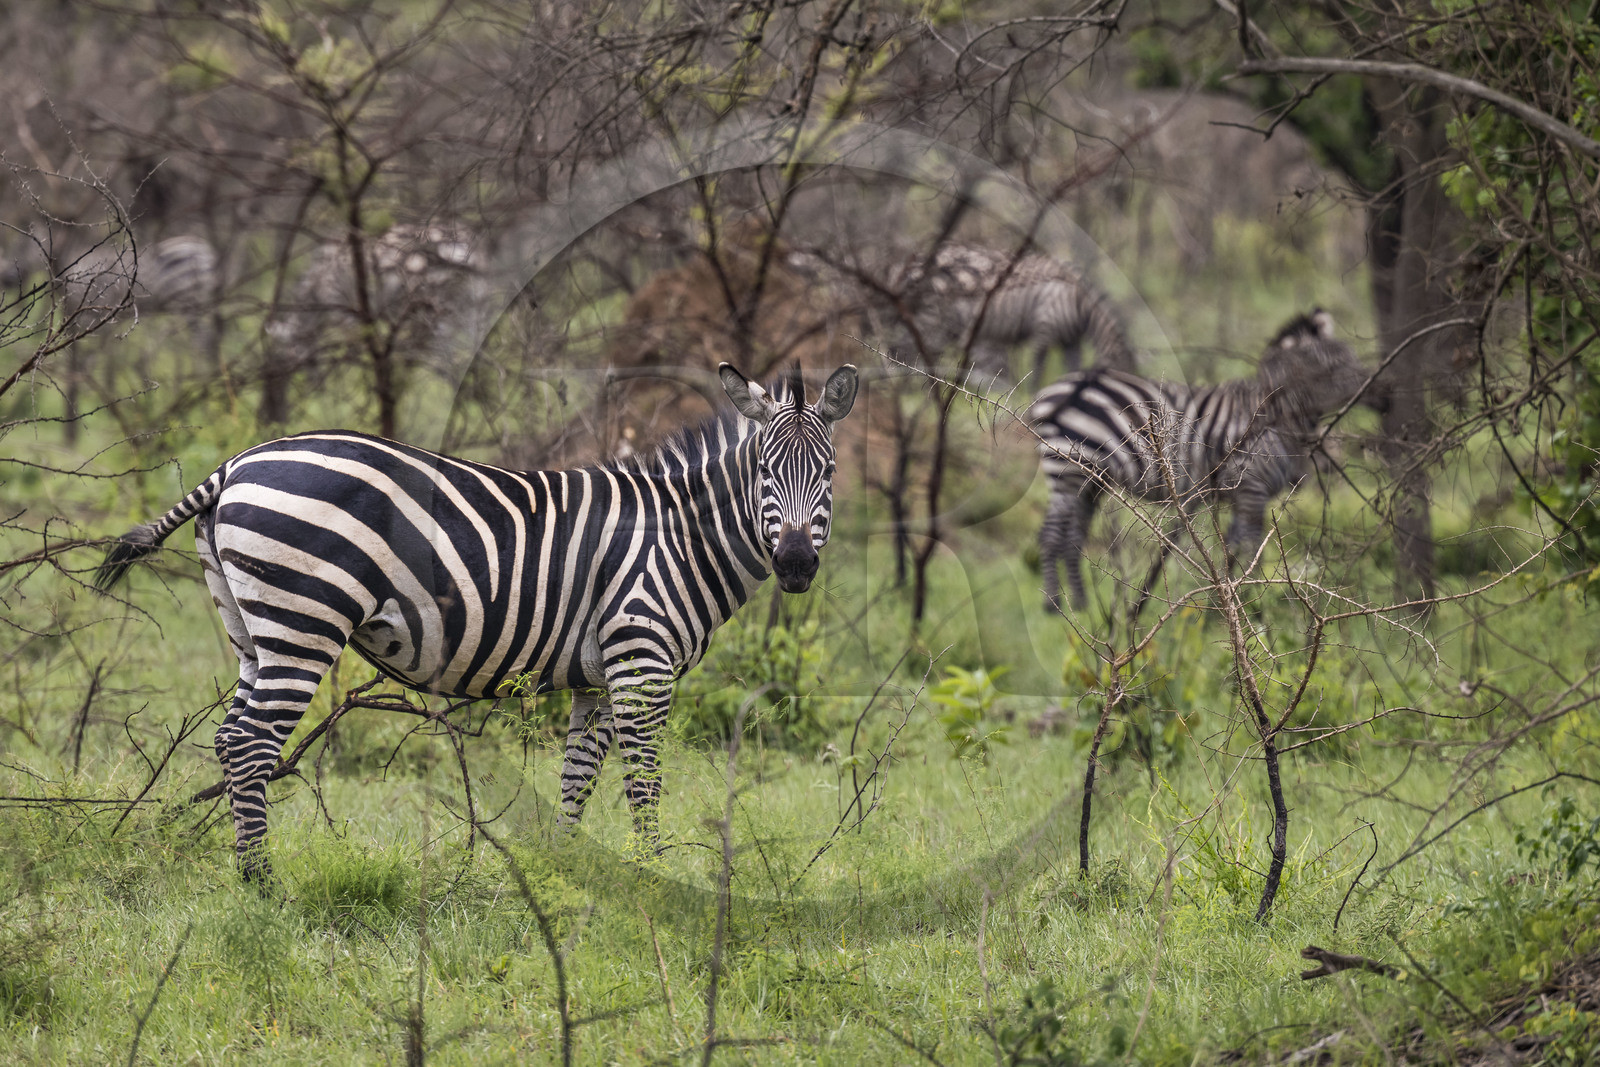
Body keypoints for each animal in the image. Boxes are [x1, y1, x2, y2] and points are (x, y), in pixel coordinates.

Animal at [94, 362, 860, 880]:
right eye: (765, 472)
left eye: (827, 474)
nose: (796, 564)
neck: (678, 535)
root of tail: (232, 465)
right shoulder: (640, 655)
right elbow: (643, 779)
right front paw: (656, 873)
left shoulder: (597, 675)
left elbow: (578, 774)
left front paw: (566, 870)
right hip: (302, 623)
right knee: (253, 743)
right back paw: (262, 884)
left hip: (252, 631)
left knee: (229, 739)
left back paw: (245, 872)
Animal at [1028, 310, 1383, 613]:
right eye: (1337, 368)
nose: (1385, 393)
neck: (1277, 414)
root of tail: (1053, 389)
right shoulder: (1251, 486)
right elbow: (1251, 550)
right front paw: (1255, 604)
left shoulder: (1243, 493)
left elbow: (1233, 550)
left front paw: (1226, 604)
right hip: (1068, 465)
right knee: (1050, 534)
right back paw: (1052, 605)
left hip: (1091, 480)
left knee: (1073, 536)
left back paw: (1081, 605)